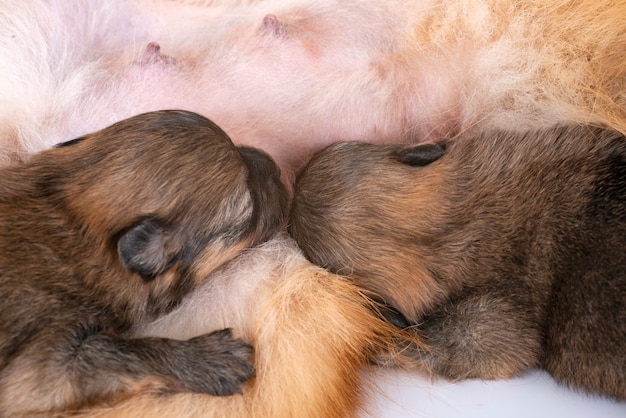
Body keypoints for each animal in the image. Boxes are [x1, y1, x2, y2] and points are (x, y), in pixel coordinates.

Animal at [0, 110, 288, 418]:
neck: (66, 212)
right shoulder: (41, 368)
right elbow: (121, 353)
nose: (276, 166)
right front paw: (210, 358)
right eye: (250, 206)